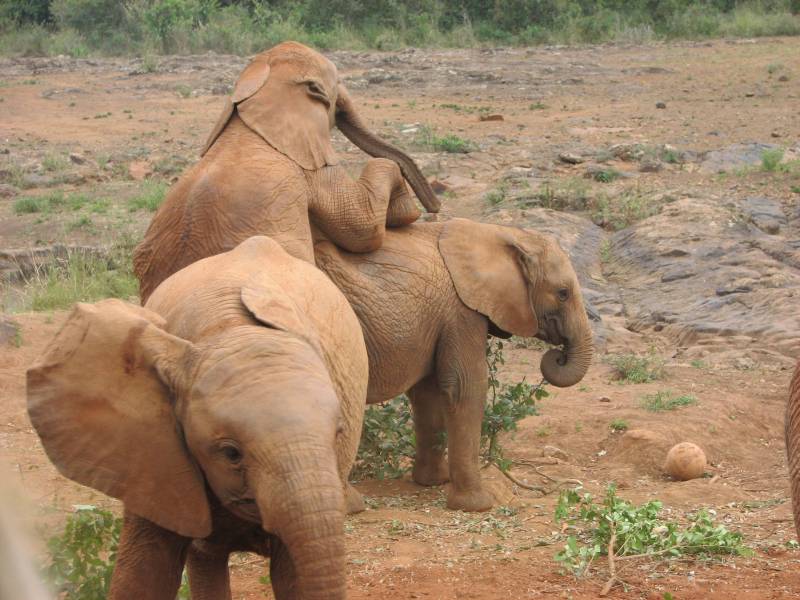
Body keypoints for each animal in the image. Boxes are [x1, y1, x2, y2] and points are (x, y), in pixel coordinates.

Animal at [25, 237, 368, 600]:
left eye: (338, 435)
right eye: (231, 453)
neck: (228, 329)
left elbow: (293, 576)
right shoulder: (152, 456)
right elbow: (145, 572)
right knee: (206, 556)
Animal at [314, 218, 592, 508]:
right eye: (563, 293)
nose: (558, 355)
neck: (501, 232)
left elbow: (428, 392)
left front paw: (433, 481)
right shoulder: (461, 311)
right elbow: (465, 387)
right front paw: (477, 504)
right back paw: (351, 505)